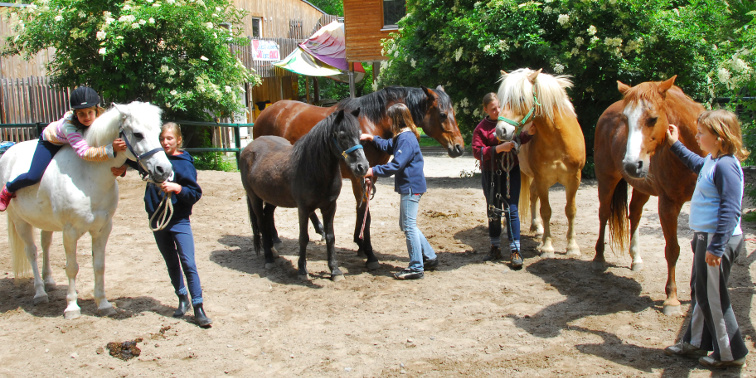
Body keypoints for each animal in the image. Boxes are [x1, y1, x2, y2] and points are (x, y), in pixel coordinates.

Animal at [0, 102, 173, 318]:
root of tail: (8, 154)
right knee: (31, 252)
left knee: (45, 245)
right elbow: (72, 267)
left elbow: (99, 265)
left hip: (45, 222)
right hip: (20, 221)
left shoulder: (102, 229)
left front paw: (104, 304)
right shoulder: (70, 231)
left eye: (158, 133)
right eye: (138, 134)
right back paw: (40, 292)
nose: (164, 170)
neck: (88, 175)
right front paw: (72, 307)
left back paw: (49, 282)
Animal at [254, 86, 464, 268]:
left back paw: (288, 235)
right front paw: (369, 252)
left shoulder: (371, 175)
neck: (372, 122)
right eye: (443, 114)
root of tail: (266, 113)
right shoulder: (359, 175)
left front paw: (360, 243)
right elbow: (364, 211)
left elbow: (362, 209)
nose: (459, 147)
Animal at [500, 68, 588, 256]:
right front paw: (547, 246)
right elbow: (546, 211)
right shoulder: (542, 180)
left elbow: (570, 211)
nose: (501, 130)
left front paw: (572, 246)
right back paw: (505, 229)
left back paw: (537, 227)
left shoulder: (574, 180)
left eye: (521, 98)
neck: (557, 139)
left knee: (533, 196)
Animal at [592, 75, 704, 314]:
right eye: (625, 119)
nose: (631, 164)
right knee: (604, 214)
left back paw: (636, 259)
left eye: (653, 119)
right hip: (606, 181)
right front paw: (671, 299)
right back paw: (599, 258)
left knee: (634, 213)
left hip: (642, 187)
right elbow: (672, 249)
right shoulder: (668, 204)